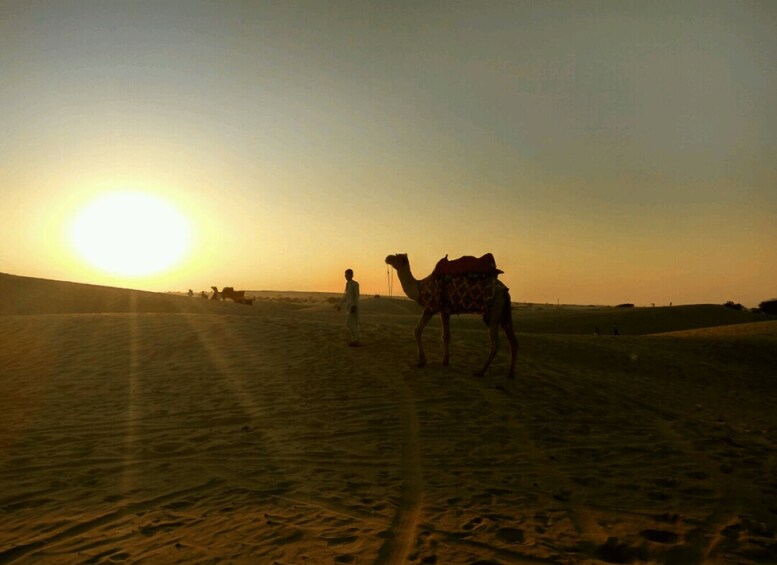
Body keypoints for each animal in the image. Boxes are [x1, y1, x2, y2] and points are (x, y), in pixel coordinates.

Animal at [385, 253, 518, 379]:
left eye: (396, 257)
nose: (387, 258)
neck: (420, 288)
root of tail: (504, 291)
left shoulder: (430, 307)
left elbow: (417, 331)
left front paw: (422, 361)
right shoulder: (444, 311)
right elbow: (446, 336)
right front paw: (445, 361)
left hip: (494, 312)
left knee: (495, 345)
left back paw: (481, 372)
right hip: (504, 313)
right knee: (513, 340)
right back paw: (510, 373)